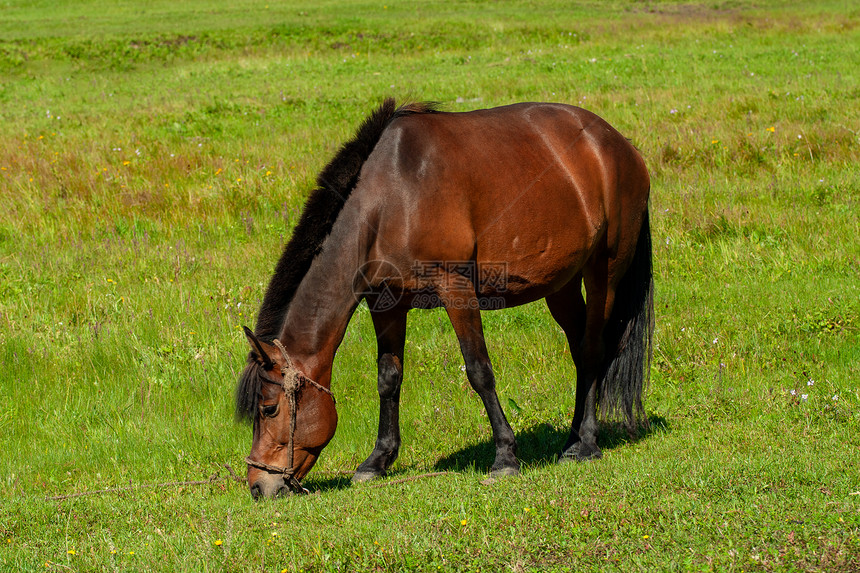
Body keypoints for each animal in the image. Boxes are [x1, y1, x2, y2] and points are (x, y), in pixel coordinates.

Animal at [235, 99, 652, 500]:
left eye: (268, 409)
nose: (258, 486)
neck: (392, 197)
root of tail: (619, 145)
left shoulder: (457, 289)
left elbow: (479, 371)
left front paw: (505, 457)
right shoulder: (387, 303)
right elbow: (388, 378)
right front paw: (377, 461)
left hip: (604, 271)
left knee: (594, 349)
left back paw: (588, 444)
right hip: (561, 284)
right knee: (580, 350)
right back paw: (572, 440)